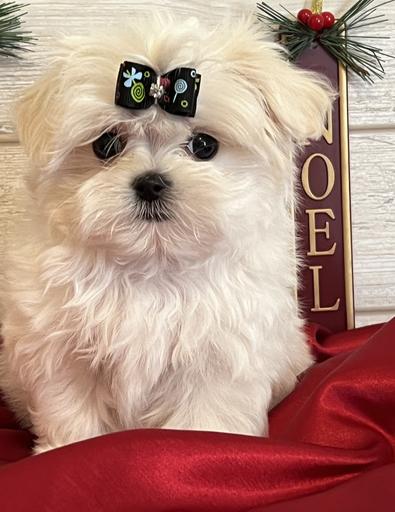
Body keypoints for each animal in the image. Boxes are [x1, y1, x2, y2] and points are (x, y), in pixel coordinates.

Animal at [0, 14, 334, 452]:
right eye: (107, 144)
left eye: (204, 145)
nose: (151, 183)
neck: (154, 263)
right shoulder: (61, 347)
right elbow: (73, 408)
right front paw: (67, 448)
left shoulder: (219, 352)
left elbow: (206, 415)